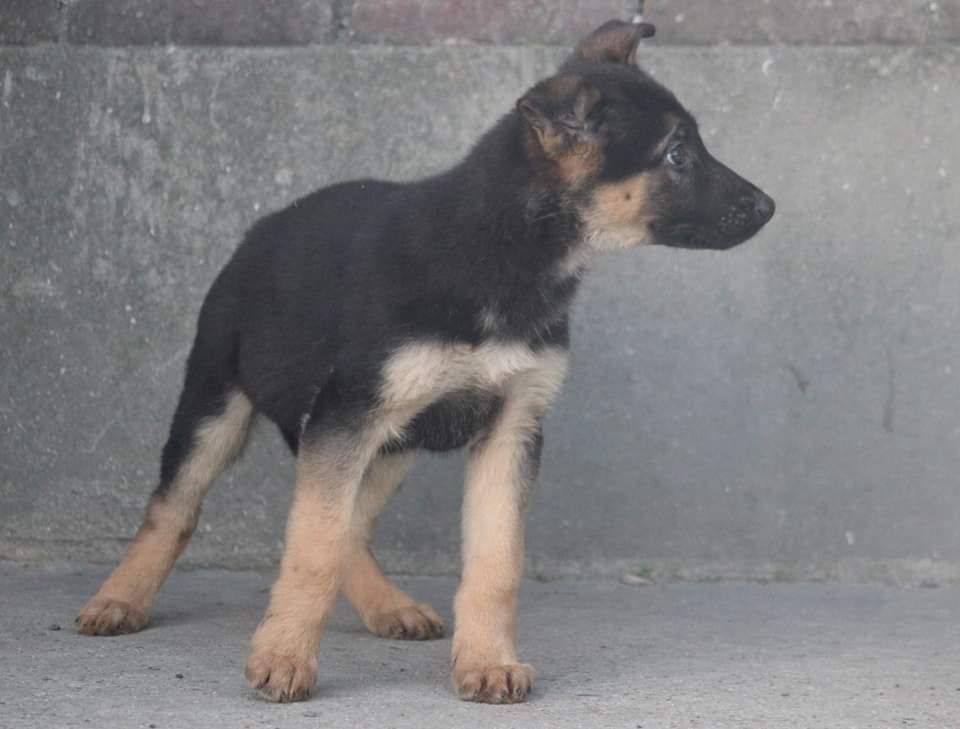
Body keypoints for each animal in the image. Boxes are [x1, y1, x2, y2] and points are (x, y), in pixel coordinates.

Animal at [79, 19, 776, 704]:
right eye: (677, 155)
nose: (769, 208)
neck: (508, 250)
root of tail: (262, 230)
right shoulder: (347, 417)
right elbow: (313, 547)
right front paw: (283, 657)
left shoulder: (510, 428)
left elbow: (494, 560)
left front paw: (488, 662)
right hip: (220, 404)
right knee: (176, 508)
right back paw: (120, 600)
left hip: (394, 444)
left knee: (354, 526)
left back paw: (388, 605)